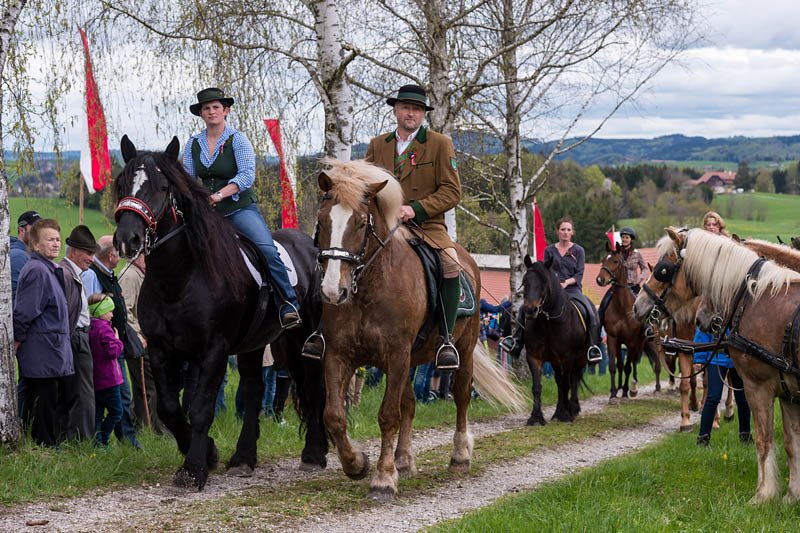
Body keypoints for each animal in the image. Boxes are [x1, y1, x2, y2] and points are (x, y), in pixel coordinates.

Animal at [112, 135, 328, 488]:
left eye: (162, 187)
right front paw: (209, 453)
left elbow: (201, 408)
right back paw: (243, 459)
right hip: (255, 344)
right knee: (254, 392)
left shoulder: (213, 350)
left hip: (304, 337)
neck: (180, 278)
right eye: (121, 183)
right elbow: (170, 408)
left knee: (313, 385)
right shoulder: (160, 349)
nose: (127, 239)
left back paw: (314, 453)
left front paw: (194, 468)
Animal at [312, 157, 524, 498]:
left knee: (461, 395)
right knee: (410, 404)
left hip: (462, 348)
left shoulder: (397, 355)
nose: (333, 291)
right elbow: (334, 416)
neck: (368, 289)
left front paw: (383, 478)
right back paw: (404, 459)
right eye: (322, 221)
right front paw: (357, 463)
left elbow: (388, 415)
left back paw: (459, 456)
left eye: (360, 224)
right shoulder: (338, 355)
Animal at [520, 256, 592, 426]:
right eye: (525, 282)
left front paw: (566, 415)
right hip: (555, 360)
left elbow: (567, 384)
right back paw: (558, 411)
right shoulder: (534, 357)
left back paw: (572, 408)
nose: (530, 310)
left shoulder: (568, 357)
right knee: (560, 381)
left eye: (544, 283)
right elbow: (537, 387)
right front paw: (536, 417)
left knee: (574, 379)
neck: (547, 322)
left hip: (581, 357)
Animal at [592, 241, 664, 400]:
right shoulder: (613, 338)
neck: (622, 308)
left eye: (615, 261)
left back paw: (652, 388)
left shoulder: (631, 340)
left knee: (654, 362)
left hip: (648, 342)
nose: (600, 280)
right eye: (603, 260)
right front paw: (614, 393)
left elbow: (627, 367)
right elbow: (614, 366)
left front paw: (625, 392)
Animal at [636, 227, 800, 500]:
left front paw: (763, 494)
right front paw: (792, 495)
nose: (638, 305)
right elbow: (791, 443)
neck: (757, 298)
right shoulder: (788, 393)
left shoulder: (759, 386)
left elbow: (763, 440)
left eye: (662, 270)